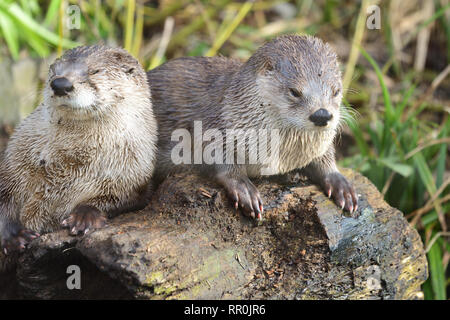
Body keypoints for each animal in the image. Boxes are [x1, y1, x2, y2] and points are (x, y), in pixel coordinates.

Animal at [0, 44, 158, 252]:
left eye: (95, 71)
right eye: (54, 70)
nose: (60, 84)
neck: (68, 162)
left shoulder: (133, 177)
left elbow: (117, 199)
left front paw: (85, 216)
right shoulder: (13, 163)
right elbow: (4, 197)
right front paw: (14, 235)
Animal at [149, 35, 358, 220]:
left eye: (336, 91)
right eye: (294, 92)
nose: (322, 115)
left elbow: (325, 159)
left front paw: (341, 184)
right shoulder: (215, 128)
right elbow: (218, 160)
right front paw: (244, 189)